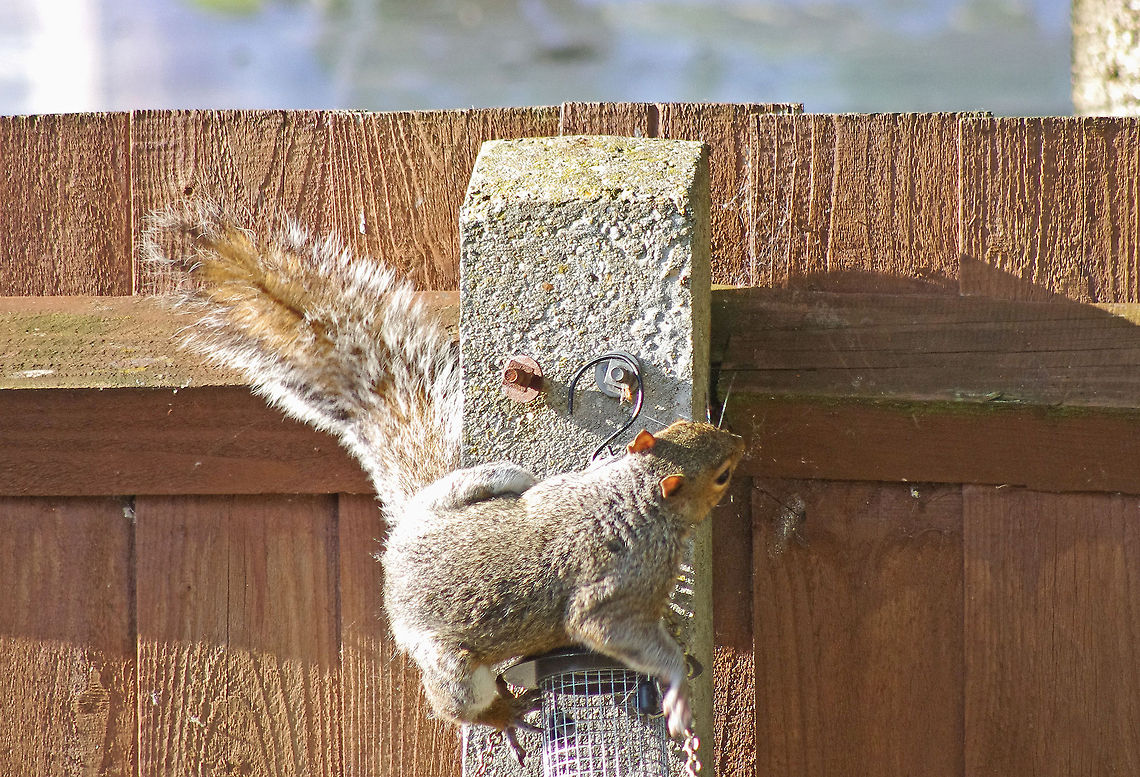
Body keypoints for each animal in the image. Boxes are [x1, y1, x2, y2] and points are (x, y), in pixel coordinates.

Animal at [146, 200, 745, 759]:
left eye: (681, 428)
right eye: (721, 476)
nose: (739, 444)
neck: (634, 494)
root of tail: (397, 552)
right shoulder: (615, 587)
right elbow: (607, 629)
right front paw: (676, 688)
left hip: (480, 486)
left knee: (512, 482)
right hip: (451, 664)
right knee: (460, 701)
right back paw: (505, 714)